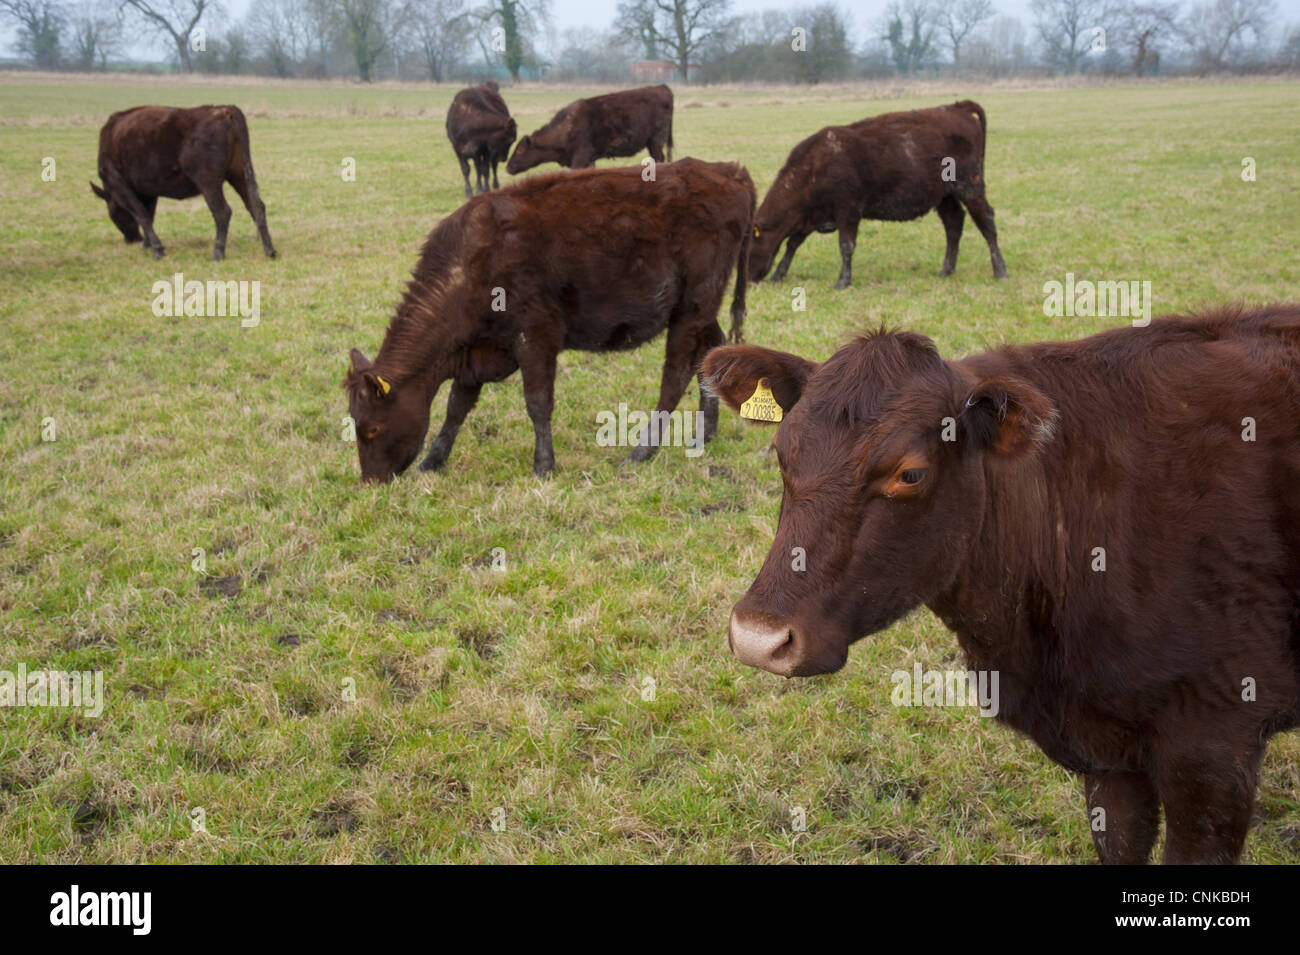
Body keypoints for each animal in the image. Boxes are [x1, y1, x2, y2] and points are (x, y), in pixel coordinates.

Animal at [90, 103, 278, 259]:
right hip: (238, 175)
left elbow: (141, 214)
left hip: (208, 181)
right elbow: (149, 215)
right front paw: (147, 245)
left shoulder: (119, 183)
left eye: (113, 213)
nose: (133, 239)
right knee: (256, 206)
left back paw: (218, 253)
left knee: (222, 212)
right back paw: (269, 250)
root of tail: (223, 109)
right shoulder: (149, 190)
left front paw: (157, 249)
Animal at [345, 160, 759, 485]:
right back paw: (705, 433)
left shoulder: (536, 334)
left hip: (692, 307)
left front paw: (543, 465)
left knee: (675, 377)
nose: (371, 481)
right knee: (711, 352)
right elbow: (456, 406)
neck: (472, 264)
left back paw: (642, 451)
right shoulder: (476, 352)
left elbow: (537, 402)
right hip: (700, 310)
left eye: (372, 428)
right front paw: (433, 459)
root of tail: (727, 171)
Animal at [504, 85, 676, 174]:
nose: (508, 167)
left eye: (520, 150)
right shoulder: (589, 160)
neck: (566, 127)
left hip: (655, 142)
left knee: (659, 159)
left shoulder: (580, 157)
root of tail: (662, 87)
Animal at [748, 100, 1008, 289]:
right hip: (944, 197)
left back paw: (1000, 270)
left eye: (749, 245)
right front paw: (779, 274)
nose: (749, 278)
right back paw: (946, 270)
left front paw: (843, 281)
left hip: (970, 186)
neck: (815, 165)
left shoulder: (848, 211)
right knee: (954, 224)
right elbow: (792, 243)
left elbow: (846, 245)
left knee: (986, 222)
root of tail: (957, 107)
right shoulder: (810, 215)